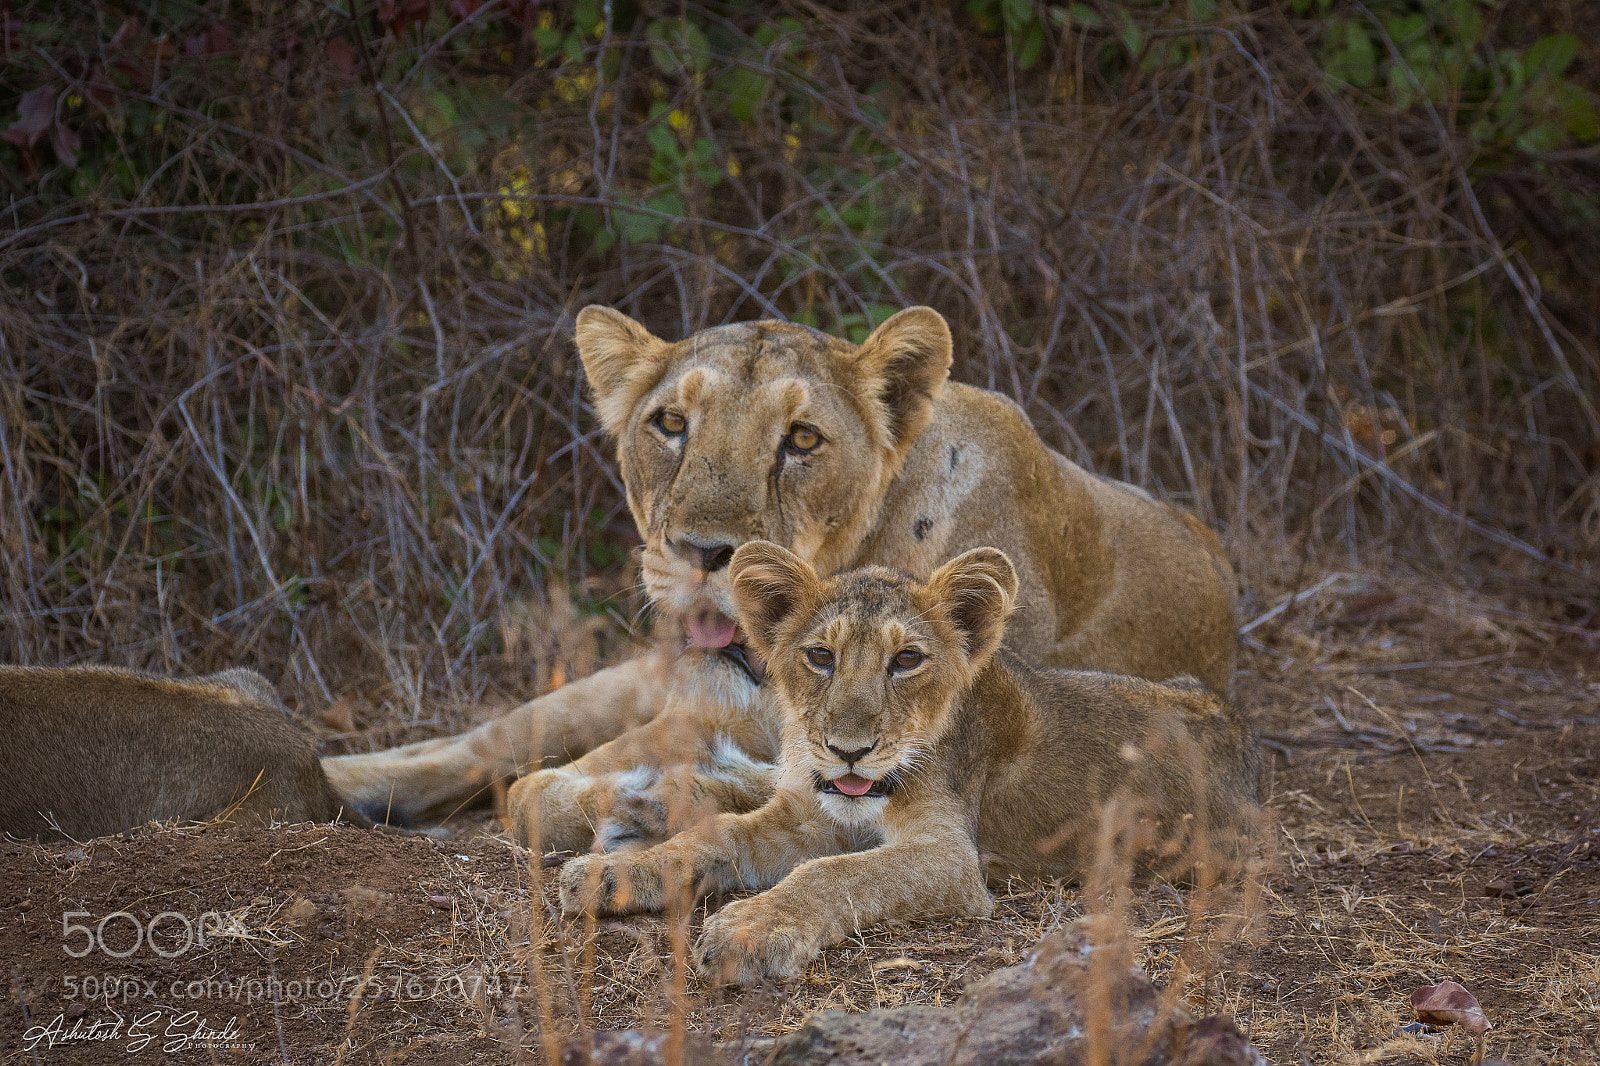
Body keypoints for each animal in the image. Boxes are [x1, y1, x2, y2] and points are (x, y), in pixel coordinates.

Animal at [557, 543, 1263, 985]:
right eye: (820, 656)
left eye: (907, 660)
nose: (848, 749)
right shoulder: (801, 817)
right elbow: (716, 836)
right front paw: (617, 871)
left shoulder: (953, 860)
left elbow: (835, 873)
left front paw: (751, 930)